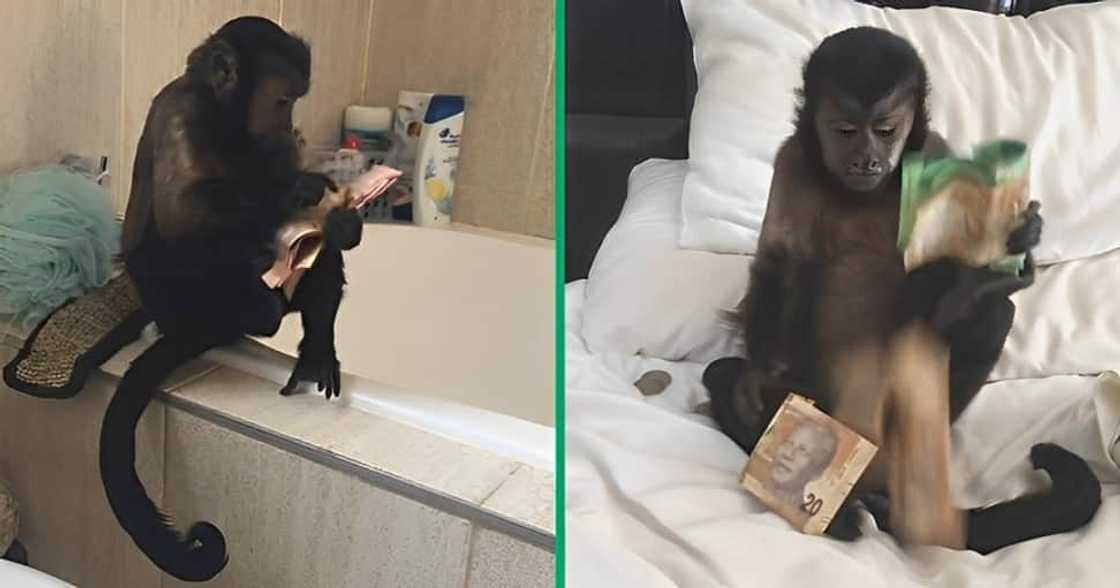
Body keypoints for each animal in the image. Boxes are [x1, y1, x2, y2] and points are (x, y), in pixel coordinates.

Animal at [101, 17, 363, 582]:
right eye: (283, 100)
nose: (290, 125)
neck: (229, 124)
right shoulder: (181, 108)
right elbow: (182, 212)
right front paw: (300, 191)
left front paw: (344, 220)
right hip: (173, 299)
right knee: (185, 246)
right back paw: (252, 306)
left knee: (312, 260)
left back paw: (314, 343)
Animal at [703, 27, 1100, 552]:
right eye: (845, 130)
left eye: (885, 129)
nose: (867, 159)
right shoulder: (793, 160)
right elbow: (779, 262)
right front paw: (757, 376)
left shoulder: (935, 151)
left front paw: (999, 260)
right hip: (814, 397)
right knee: (721, 374)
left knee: (994, 315)